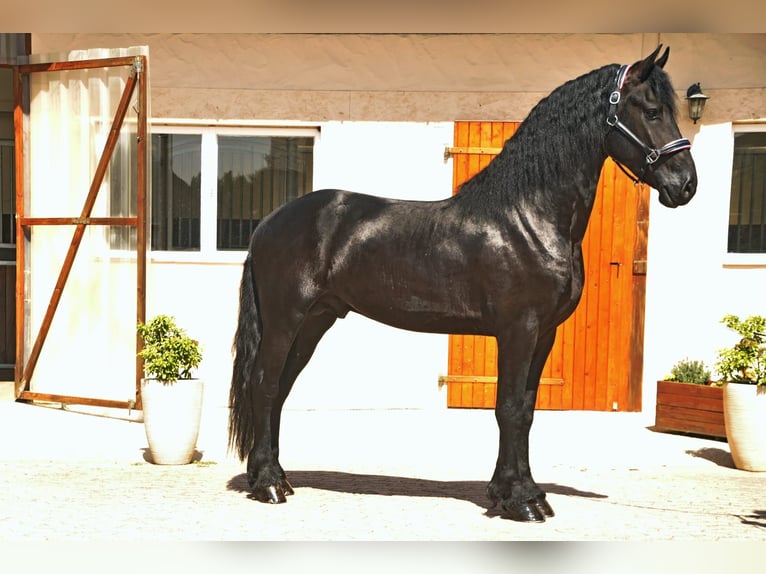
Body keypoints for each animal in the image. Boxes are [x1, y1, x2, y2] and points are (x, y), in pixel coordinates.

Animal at [228, 45, 697, 522]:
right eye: (652, 111)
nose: (686, 185)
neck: (527, 217)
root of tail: (268, 222)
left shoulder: (544, 333)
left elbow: (527, 411)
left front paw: (516, 491)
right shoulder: (518, 330)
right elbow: (509, 409)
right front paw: (521, 501)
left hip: (314, 321)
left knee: (280, 389)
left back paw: (275, 476)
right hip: (287, 320)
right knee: (264, 384)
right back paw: (269, 485)